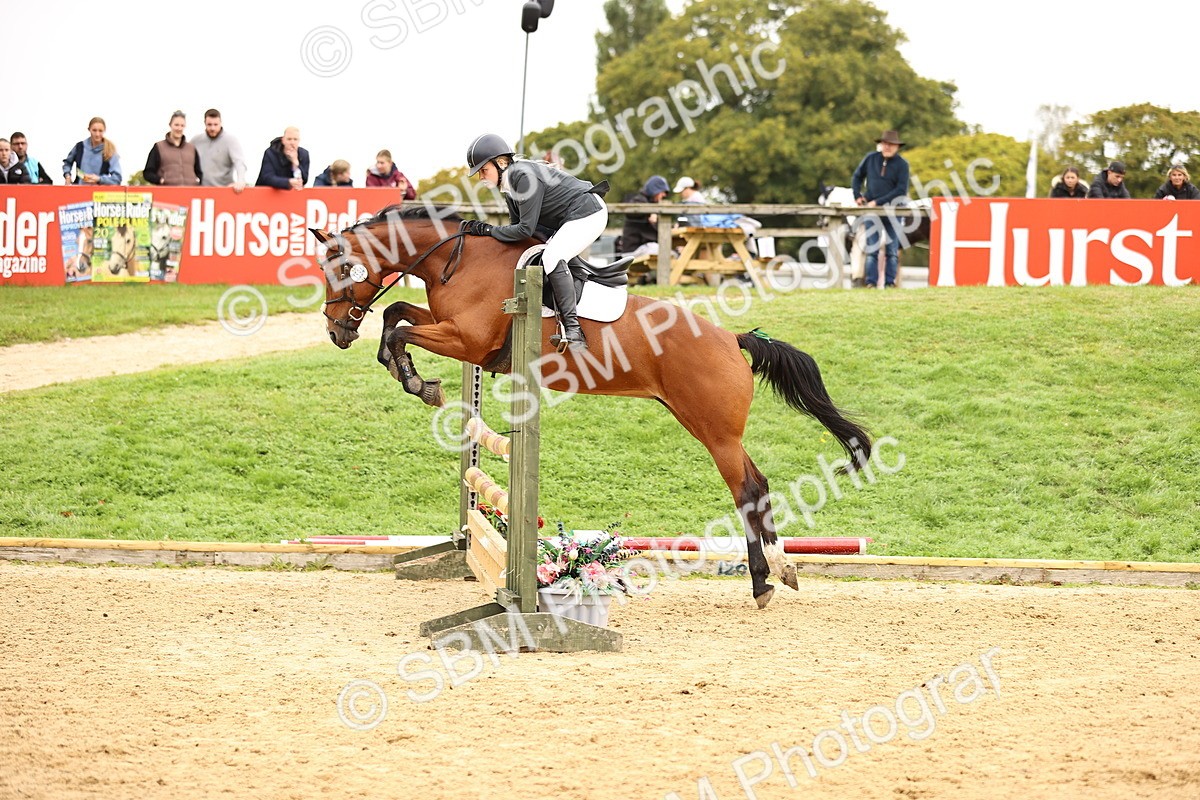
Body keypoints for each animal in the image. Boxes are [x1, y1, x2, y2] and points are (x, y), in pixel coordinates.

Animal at [312, 205, 872, 609]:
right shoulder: (450, 329)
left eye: (341, 271)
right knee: (758, 484)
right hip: (706, 426)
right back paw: (779, 572)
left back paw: (763, 583)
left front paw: (417, 381)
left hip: (715, 432)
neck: (458, 261)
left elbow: (397, 327)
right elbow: (396, 313)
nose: (336, 331)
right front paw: (408, 373)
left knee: (747, 490)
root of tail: (732, 339)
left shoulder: (467, 341)